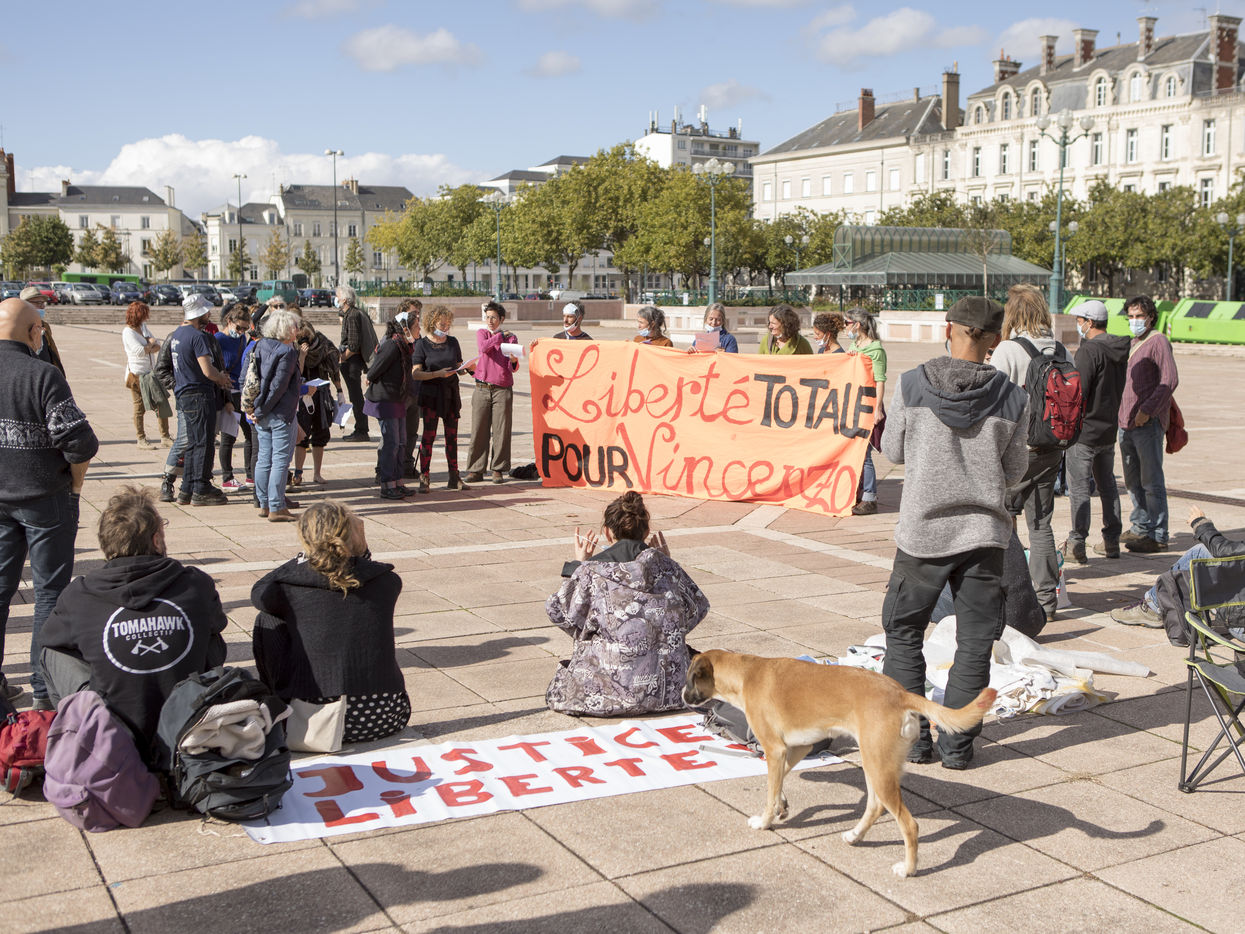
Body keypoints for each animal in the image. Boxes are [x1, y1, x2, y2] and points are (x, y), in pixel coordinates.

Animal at [682, 649, 996, 878]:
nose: (683, 698)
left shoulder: (775, 749)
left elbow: (770, 790)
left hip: (878, 766)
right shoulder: (797, 747)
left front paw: (764, 821)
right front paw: (782, 806)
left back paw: (908, 869)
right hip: (874, 763)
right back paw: (856, 836)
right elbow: (777, 781)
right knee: (875, 806)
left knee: (909, 824)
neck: (747, 674)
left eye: (689, 680)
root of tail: (900, 693)